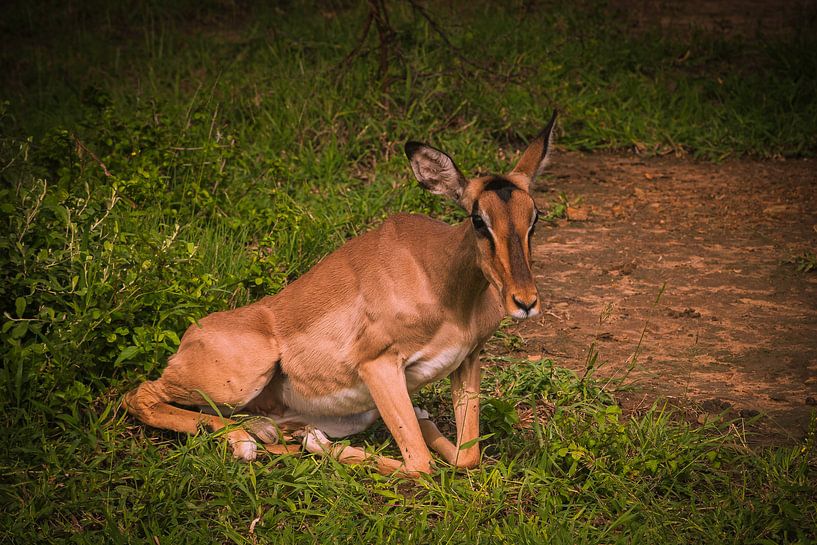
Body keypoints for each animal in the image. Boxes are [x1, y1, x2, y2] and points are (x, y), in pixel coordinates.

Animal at [123, 111, 557, 476]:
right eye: (478, 219)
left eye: (534, 217)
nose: (525, 302)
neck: (446, 292)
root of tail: (191, 335)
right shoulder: (378, 364)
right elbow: (419, 463)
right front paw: (322, 445)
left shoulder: (468, 358)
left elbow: (467, 457)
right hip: (238, 378)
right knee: (140, 394)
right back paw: (248, 441)